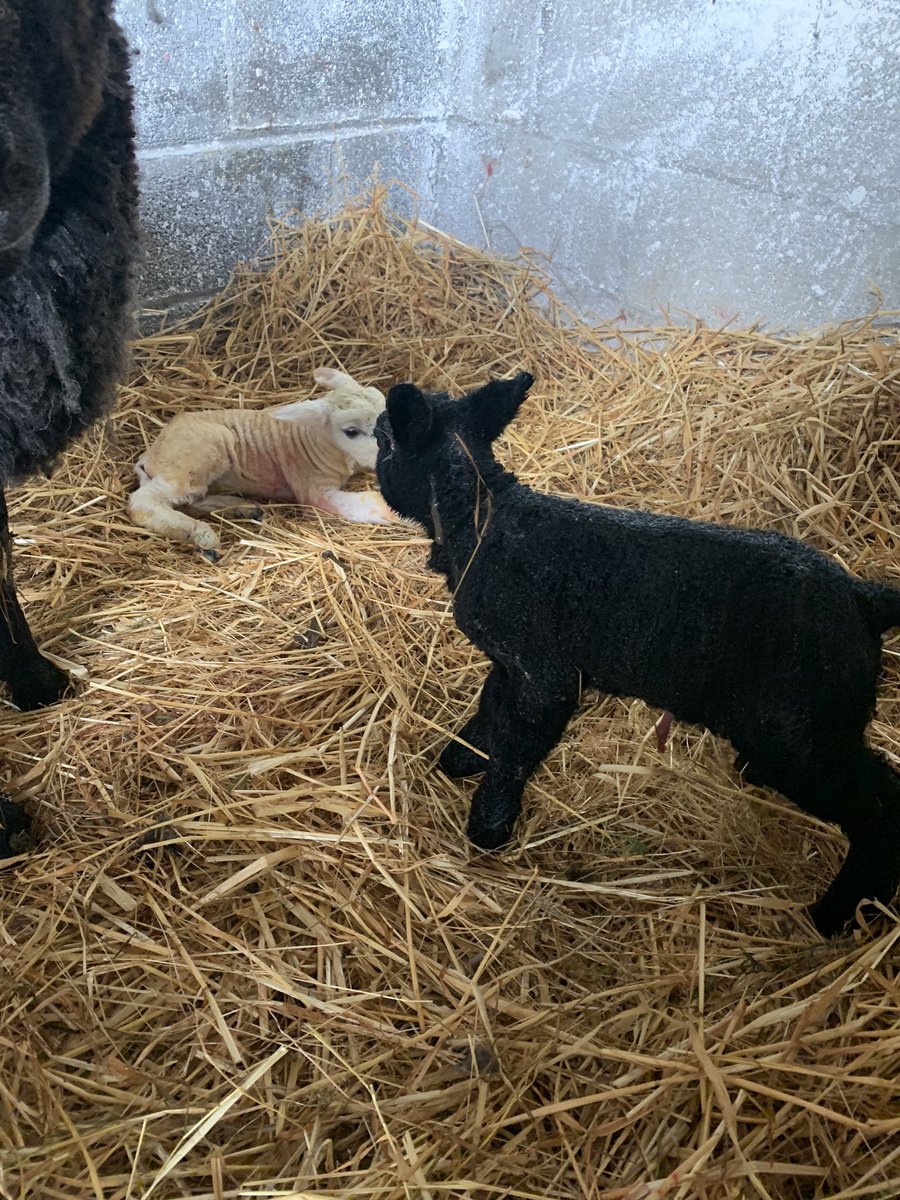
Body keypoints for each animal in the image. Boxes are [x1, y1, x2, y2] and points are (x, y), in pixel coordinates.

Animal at [128, 368, 395, 557]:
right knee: (144, 502)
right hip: (198, 454)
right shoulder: (315, 490)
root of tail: (149, 455)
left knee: (190, 501)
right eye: (351, 431)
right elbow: (363, 503)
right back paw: (199, 533)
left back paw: (240, 508)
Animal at [374, 372, 900, 938]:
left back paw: (838, 913)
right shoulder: (511, 661)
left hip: (799, 733)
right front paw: (461, 757)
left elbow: (517, 750)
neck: (481, 519)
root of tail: (862, 598)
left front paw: (489, 825)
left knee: (880, 805)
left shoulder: (545, 675)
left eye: (382, 440)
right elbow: (491, 709)